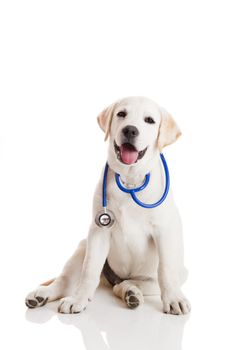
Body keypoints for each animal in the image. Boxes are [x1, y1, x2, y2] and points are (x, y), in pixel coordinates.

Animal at [25, 97, 190, 316]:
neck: (130, 180)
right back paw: (42, 295)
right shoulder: (98, 231)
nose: (130, 130)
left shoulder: (164, 231)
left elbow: (166, 270)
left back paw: (131, 294)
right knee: (66, 280)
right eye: (121, 114)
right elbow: (89, 270)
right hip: (83, 246)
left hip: (159, 278)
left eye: (149, 120)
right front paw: (79, 299)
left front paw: (173, 299)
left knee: (125, 284)